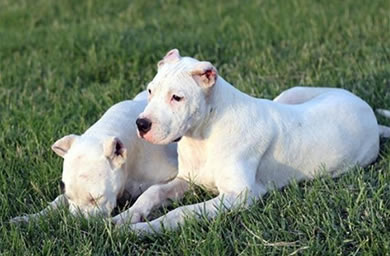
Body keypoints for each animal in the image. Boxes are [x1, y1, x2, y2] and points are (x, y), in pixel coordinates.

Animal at [10, 91, 178, 222]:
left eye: (97, 199)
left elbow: (152, 192)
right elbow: (56, 201)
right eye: (69, 197)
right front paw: (31, 217)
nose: (78, 223)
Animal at [113, 48, 390, 234]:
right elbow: (153, 192)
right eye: (150, 91)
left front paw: (143, 230)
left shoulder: (239, 196)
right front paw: (125, 218)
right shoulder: (186, 179)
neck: (203, 136)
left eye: (177, 98)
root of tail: (366, 110)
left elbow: (181, 212)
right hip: (290, 94)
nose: (141, 124)